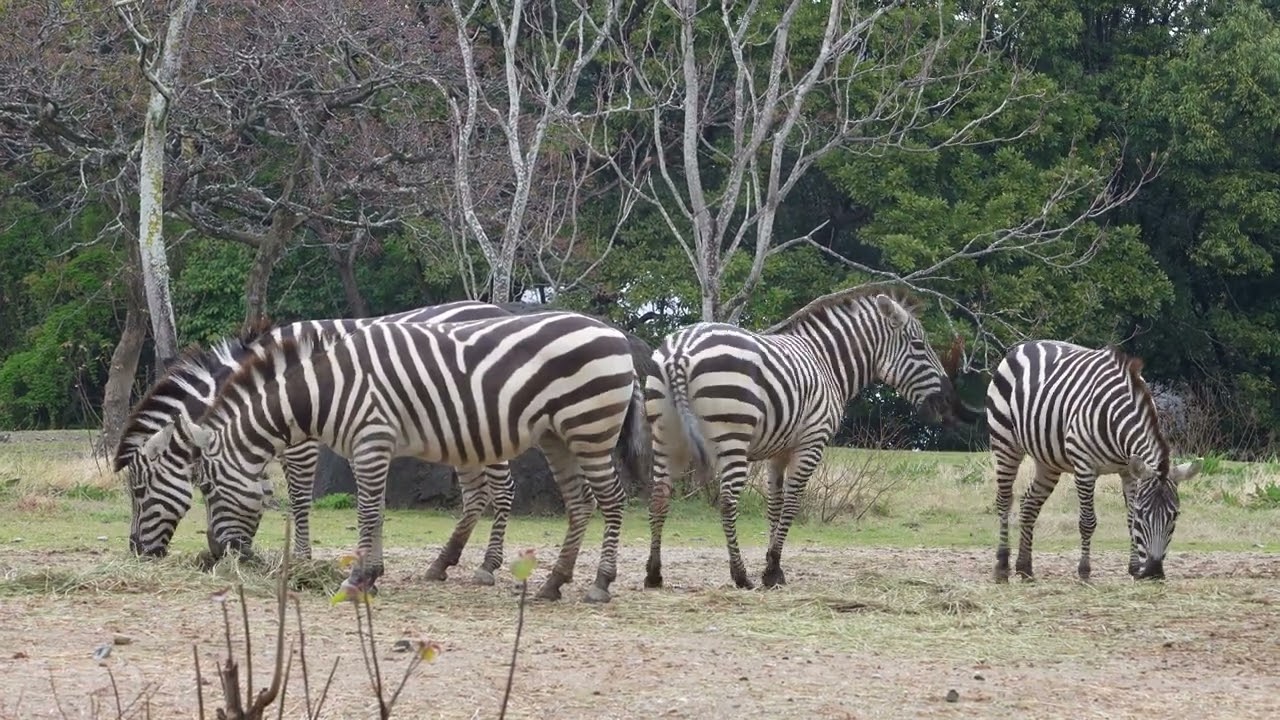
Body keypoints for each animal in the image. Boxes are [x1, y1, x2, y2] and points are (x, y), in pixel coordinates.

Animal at [117, 301, 524, 584]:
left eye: (139, 491)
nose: (136, 551)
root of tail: (495, 307)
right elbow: (259, 490)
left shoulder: (300, 441)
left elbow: (298, 499)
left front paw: (299, 560)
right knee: (476, 495)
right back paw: (442, 563)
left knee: (502, 490)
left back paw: (488, 566)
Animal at [162, 311, 646, 602]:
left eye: (205, 486)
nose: (217, 553)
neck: (325, 391)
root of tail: (617, 336)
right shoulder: (369, 447)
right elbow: (375, 513)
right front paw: (372, 576)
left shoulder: (371, 440)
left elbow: (367, 512)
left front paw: (356, 579)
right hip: (557, 436)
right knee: (580, 503)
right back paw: (553, 582)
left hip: (590, 428)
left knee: (612, 500)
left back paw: (600, 583)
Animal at [644, 286, 979, 590]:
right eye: (919, 346)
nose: (948, 403)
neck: (827, 362)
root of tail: (680, 350)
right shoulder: (811, 443)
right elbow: (792, 503)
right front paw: (772, 571)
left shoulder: (778, 450)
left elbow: (774, 504)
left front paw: (772, 564)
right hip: (732, 437)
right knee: (727, 502)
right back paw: (739, 575)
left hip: (664, 437)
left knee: (659, 496)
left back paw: (654, 574)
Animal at [986, 340, 1202, 582]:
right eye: (1143, 515)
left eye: (1174, 516)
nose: (1154, 572)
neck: (1116, 417)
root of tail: (1024, 345)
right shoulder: (1084, 466)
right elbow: (1088, 522)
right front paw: (1084, 571)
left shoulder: (1128, 470)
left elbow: (1127, 519)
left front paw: (1134, 568)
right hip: (1005, 441)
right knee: (1004, 500)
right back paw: (1002, 566)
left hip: (1048, 461)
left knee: (1029, 504)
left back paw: (1025, 568)